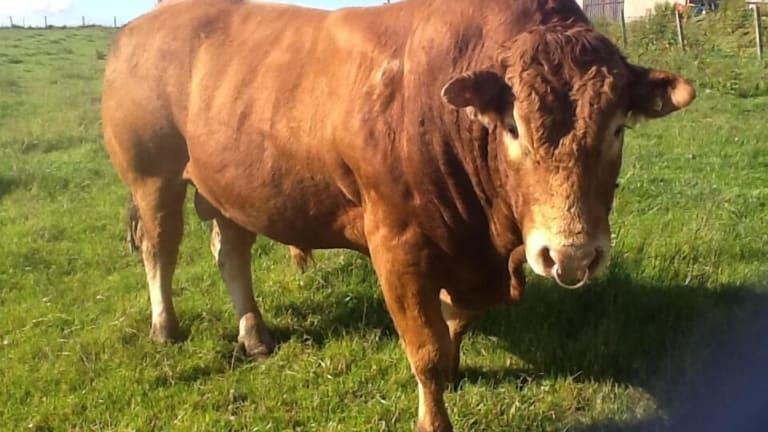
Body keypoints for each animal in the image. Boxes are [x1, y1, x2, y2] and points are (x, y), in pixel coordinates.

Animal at [101, 0, 695, 430]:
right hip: (152, 177)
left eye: (617, 127)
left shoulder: (468, 256)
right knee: (160, 248)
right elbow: (425, 348)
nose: (570, 254)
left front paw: (456, 368)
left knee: (230, 252)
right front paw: (434, 412)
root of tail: (141, 26)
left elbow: (455, 320)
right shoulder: (398, 248)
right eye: (513, 127)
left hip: (230, 185)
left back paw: (254, 334)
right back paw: (165, 327)